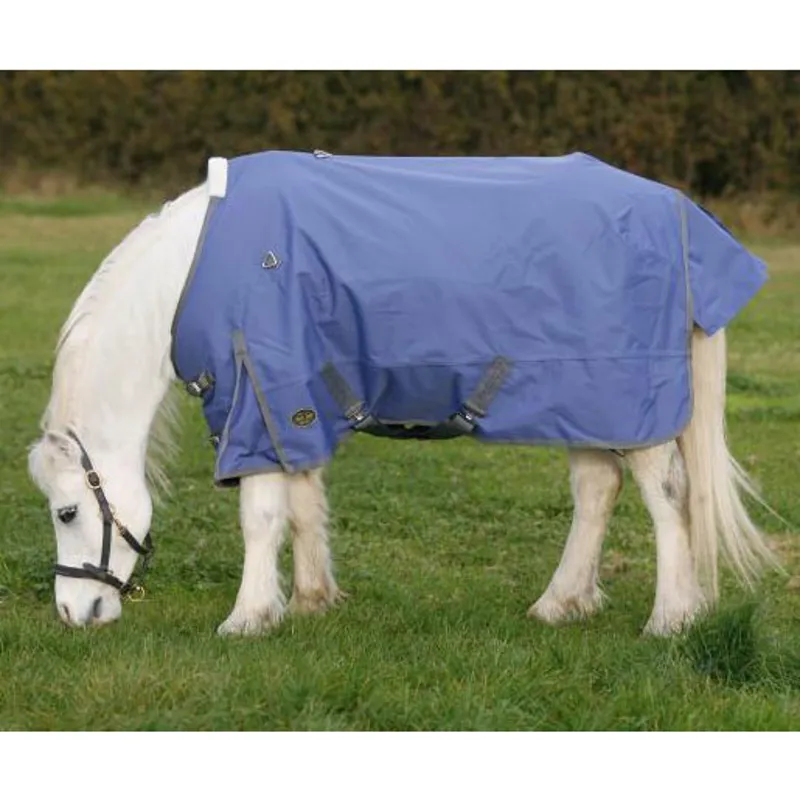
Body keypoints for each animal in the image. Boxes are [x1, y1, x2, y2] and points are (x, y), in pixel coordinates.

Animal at [27, 150, 778, 636]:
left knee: (666, 495)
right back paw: (559, 604)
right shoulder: (296, 402)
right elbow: (304, 504)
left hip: (631, 398)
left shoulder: (259, 397)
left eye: (66, 512)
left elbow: (261, 515)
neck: (195, 270)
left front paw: (248, 618)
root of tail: (678, 212)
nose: (72, 615)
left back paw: (670, 618)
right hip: (585, 401)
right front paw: (311, 600)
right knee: (597, 490)